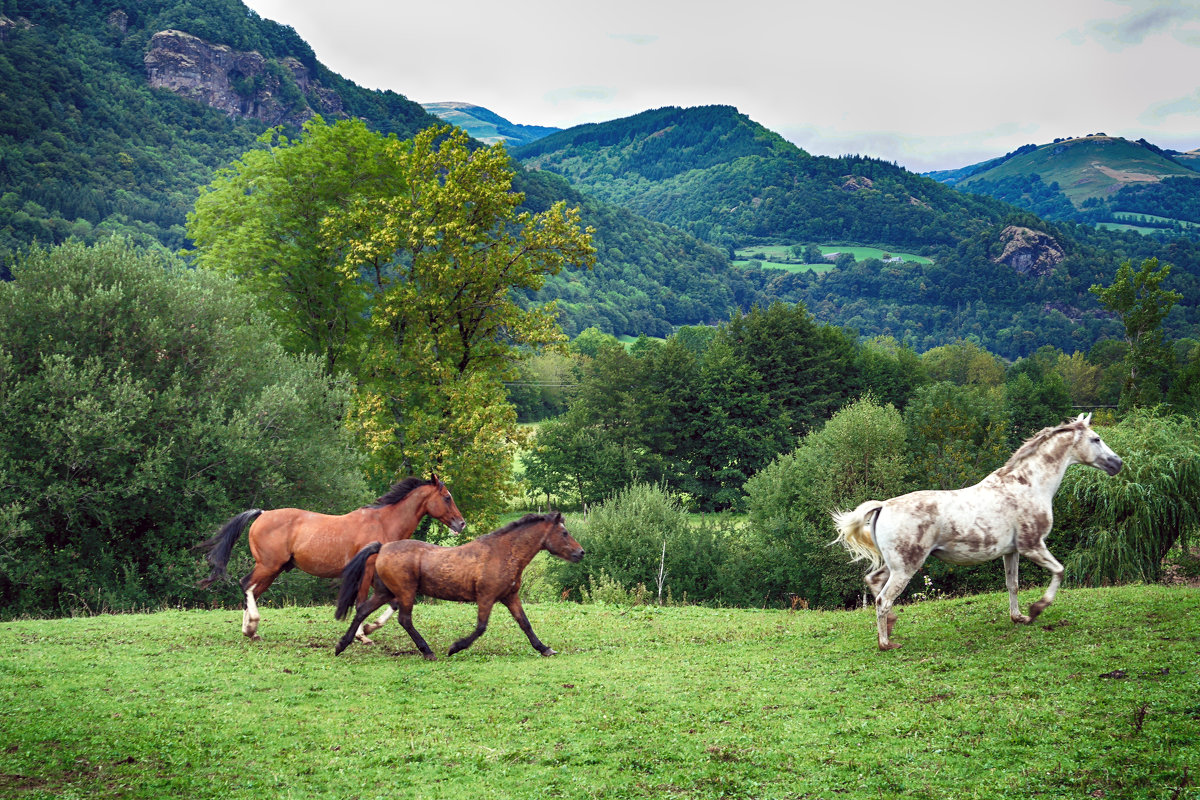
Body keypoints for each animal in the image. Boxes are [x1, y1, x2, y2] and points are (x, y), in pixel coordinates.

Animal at [192, 474, 463, 638]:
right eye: (447, 497)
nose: (461, 524)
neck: (383, 522)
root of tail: (262, 513)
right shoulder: (367, 569)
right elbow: (361, 602)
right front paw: (362, 635)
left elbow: (392, 603)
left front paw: (369, 628)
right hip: (269, 565)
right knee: (246, 585)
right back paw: (251, 625)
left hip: (273, 569)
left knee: (253, 591)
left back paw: (250, 630)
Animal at [333, 515, 585, 662]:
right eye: (564, 532)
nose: (581, 552)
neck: (503, 553)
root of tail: (383, 547)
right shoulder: (486, 597)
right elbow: (481, 627)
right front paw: (455, 647)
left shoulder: (510, 596)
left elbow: (525, 623)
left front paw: (544, 648)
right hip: (405, 592)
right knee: (404, 619)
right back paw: (428, 652)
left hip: (385, 591)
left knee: (362, 610)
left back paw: (342, 645)